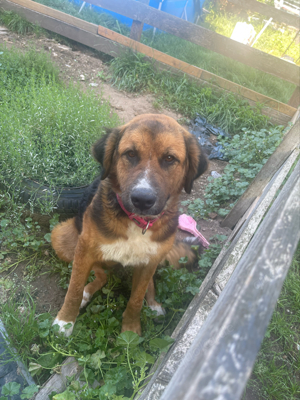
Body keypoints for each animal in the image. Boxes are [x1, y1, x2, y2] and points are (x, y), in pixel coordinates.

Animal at [51, 114, 207, 336]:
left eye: (170, 158)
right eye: (130, 154)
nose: (142, 199)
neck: (137, 222)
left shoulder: (149, 261)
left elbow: (135, 300)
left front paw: (131, 331)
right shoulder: (84, 250)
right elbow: (73, 289)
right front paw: (65, 321)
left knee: (142, 283)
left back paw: (153, 304)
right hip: (62, 237)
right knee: (101, 276)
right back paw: (86, 293)